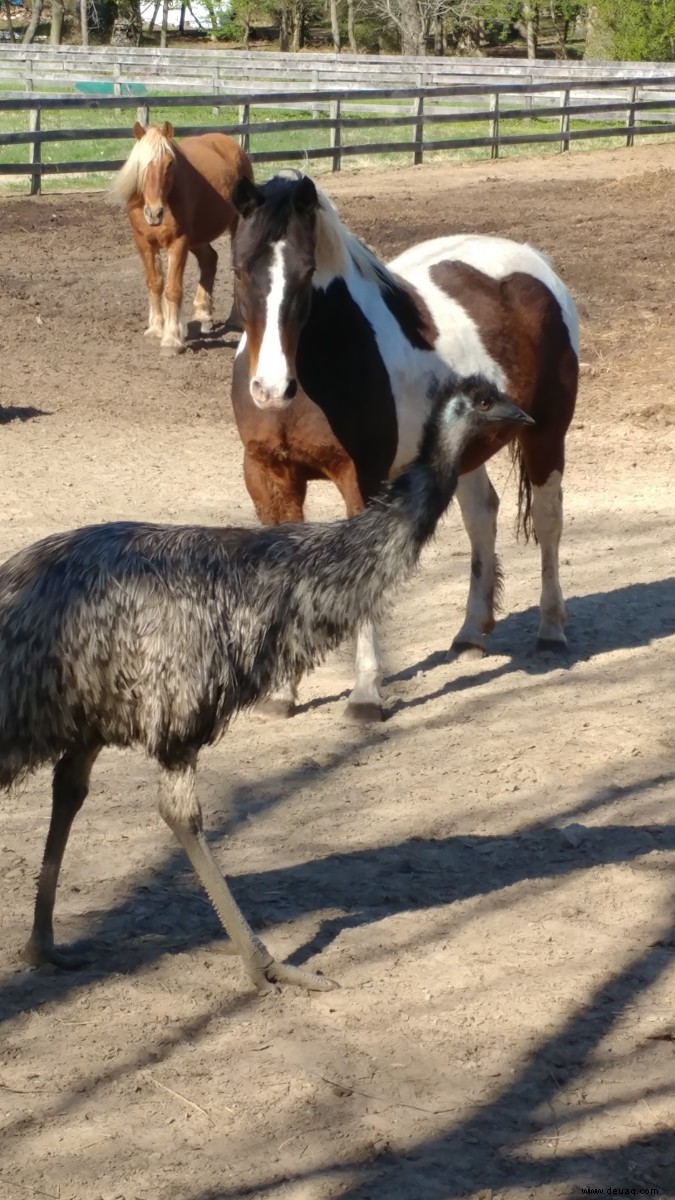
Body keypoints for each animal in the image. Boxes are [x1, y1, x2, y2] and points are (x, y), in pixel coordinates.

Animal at [110, 123, 252, 352]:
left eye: (169, 163)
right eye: (140, 164)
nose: (154, 213)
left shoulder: (178, 242)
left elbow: (173, 289)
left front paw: (172, 339)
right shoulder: (144, 243)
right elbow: (155, 283)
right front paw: (155, 330)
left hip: (235, 226)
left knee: (237, 267)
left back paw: (236, 319)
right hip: (198, 238)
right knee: (209, 260)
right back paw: (203, 315)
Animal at [228, 175, 576, 720]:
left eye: (307, 274)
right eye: (240, 268)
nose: (270, 389)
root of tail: (534, 264)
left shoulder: (362, 479)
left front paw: (366, 693)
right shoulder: (268, 476)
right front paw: (282, 692)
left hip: (548, 435)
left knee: (547, 520)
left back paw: (551, 631)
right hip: (466, 445)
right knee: (482, 516)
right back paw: (470, 635)